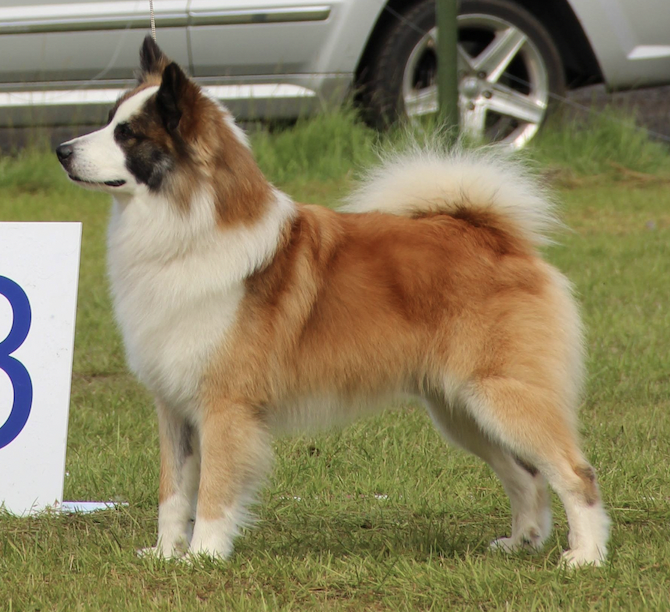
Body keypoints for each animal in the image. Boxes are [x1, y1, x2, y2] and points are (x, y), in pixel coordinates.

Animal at [57, 35, 612, 568]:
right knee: (526, 475)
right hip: (461, 409)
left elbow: (213, 491)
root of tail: (493, 236)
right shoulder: (174, 407)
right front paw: (165, 553)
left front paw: (204, 556)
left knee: (574, 472)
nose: (61, 149)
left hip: (501, 395)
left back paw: (585, 556)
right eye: (109, 120)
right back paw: (521, 542)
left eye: (128, 134)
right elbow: (173, 493)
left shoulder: (225, 406)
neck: (187, 229)